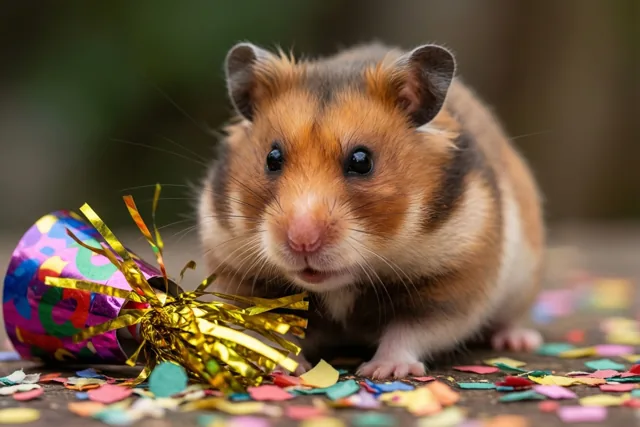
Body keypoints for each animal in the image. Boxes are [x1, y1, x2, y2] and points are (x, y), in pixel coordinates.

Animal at [197, 41, 545, 379]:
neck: (341, 283)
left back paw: (518, 340)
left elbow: (409, 331)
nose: (302, 242)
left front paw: (381, 371)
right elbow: (275, 332)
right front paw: (282, 368)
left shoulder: (455, 279)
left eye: (362, 161)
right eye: (272, 158)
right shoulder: (239, 274)